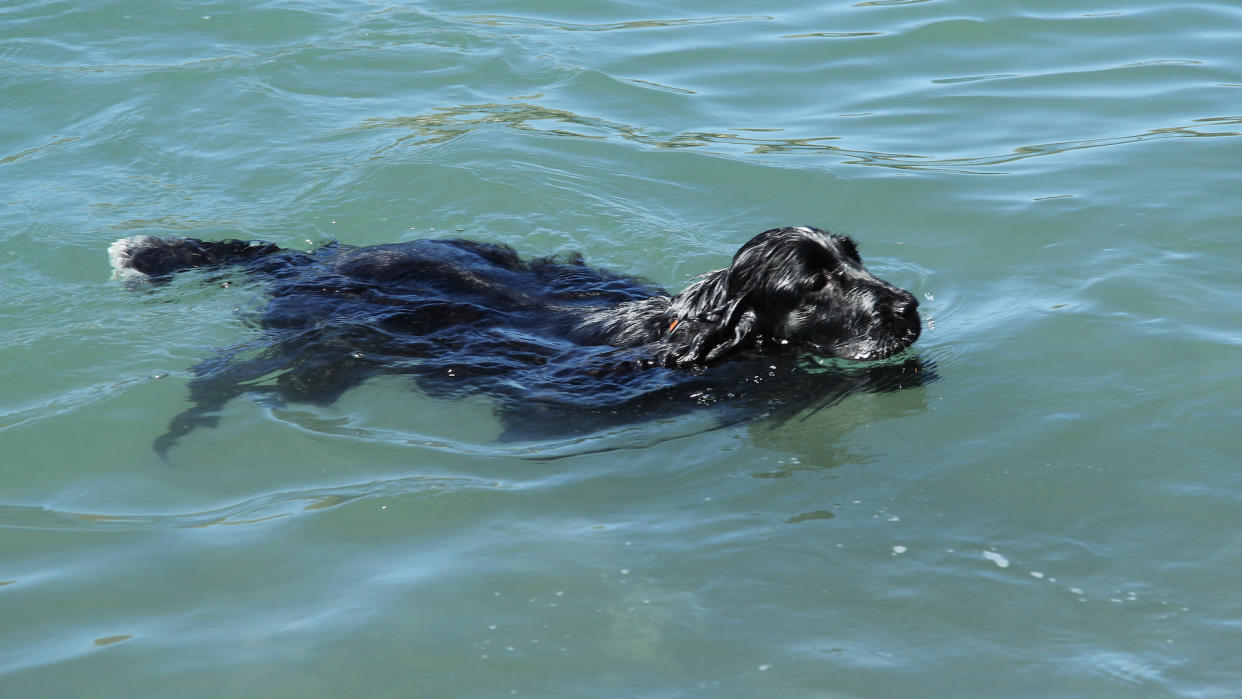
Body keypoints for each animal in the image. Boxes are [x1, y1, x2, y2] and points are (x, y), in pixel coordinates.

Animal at [109, 224, 924, 454]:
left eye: (856, 256)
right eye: (814, 283)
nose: (910, 306)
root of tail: (311, 258)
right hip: (319, 352)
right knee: (221, 375)